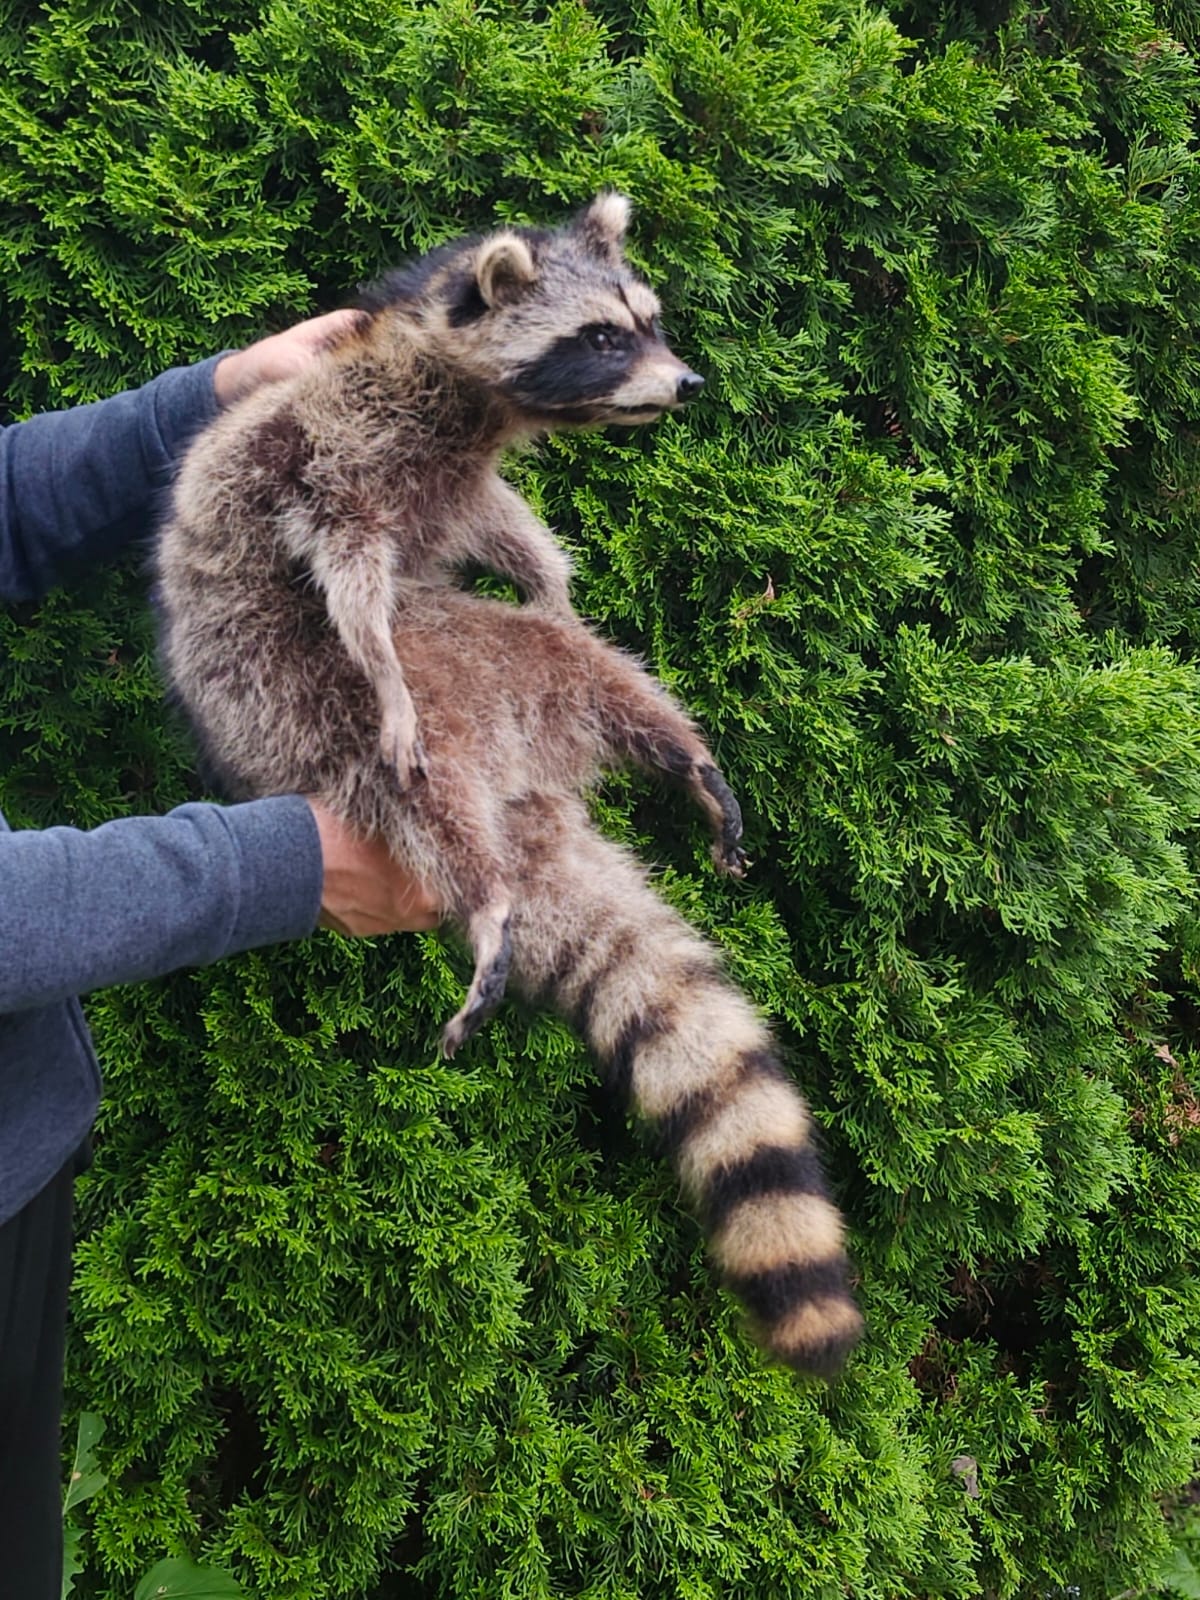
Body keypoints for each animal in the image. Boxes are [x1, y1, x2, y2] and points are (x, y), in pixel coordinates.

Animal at [155, 197, 863, 1376]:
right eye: (601, 338)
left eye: (648, 319)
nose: (689, 384)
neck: (461, 392)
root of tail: (520, 789)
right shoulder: (340, 452)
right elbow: (350, 576)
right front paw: (382, 665)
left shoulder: (461, 478)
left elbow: (519, 538)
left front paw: (557, 580)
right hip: (310, 714)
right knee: (428, 793)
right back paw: (486, 897)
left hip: (517, 677)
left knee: (587, 665)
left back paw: (679, 754)